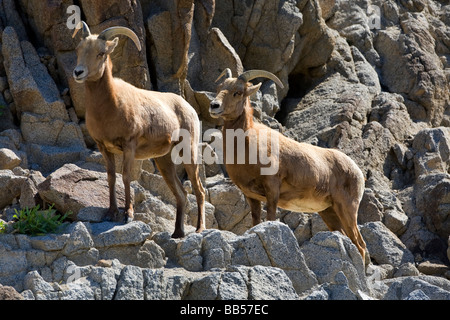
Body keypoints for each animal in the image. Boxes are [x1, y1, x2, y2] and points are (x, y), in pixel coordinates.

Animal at [72, 21, 206, 238]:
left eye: (101, 53)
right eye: (79, 49)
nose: (78, 72)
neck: (109, 106)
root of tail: (188, 107)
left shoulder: (129, 146)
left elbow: (126, 177)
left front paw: (128, 215)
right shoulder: (104, 147)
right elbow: (111, 177)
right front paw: (111, 213)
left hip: (189, 153)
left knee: (198, 190)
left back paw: (200, 228)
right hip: (164, 161)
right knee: (182, 193)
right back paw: (177, 233)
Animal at [209, 69, 368, 264]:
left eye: (237, 92)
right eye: (219, 88)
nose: (214, 106)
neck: (247, 145)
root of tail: (357, 172)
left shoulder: (272, 190)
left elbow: (270, 218)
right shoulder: (251, 197)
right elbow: (256, 222)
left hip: (347, 209)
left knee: (360, 245)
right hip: (329, 212)